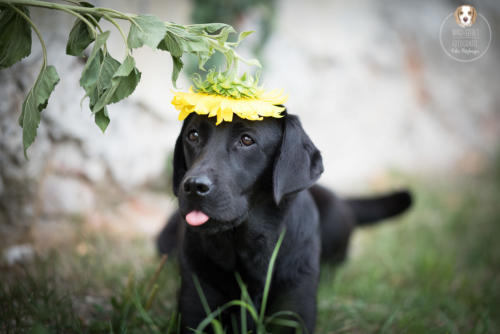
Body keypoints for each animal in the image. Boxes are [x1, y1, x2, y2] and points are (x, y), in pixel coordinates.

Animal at [158, 111, 412, 332]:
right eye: (193, 135)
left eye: (247, 140)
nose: (193, 186)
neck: (248, 247)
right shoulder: (196, 311)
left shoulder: (294, 313)